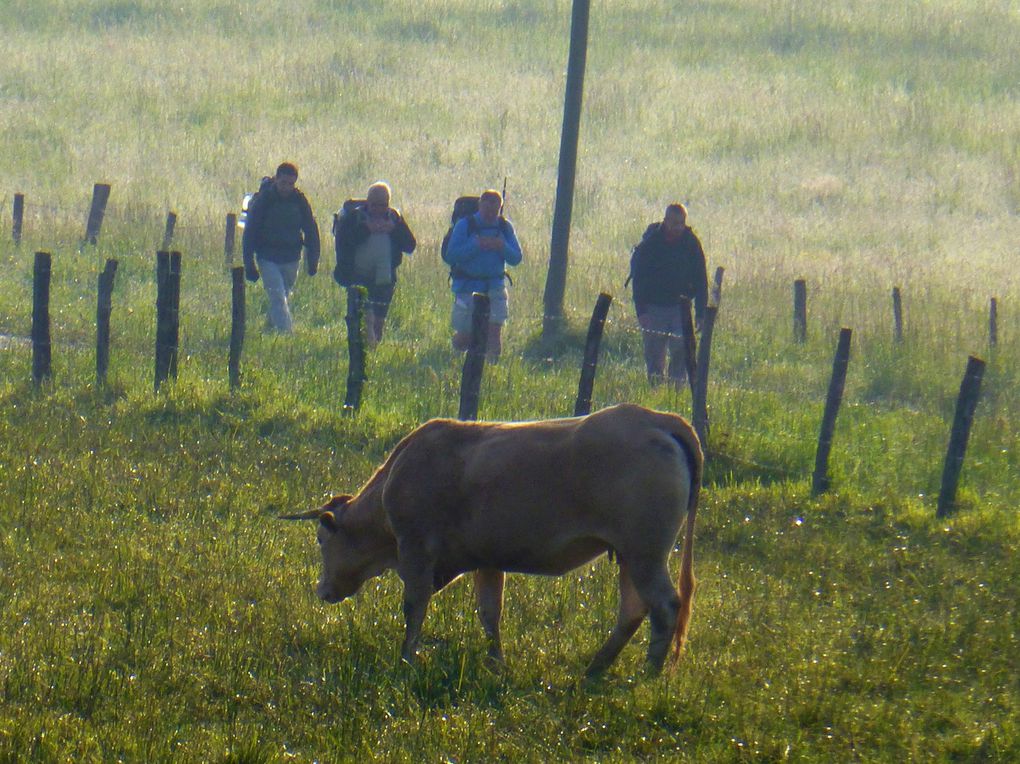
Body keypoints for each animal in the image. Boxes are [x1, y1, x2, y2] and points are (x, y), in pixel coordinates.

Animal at [283, 401, 705, 677]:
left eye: (321, 540)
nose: (322, 590)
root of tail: (657, 419)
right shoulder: (486, 561)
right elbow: (489, 612)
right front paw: (495, 662)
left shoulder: (416, 551)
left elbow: (414, 607)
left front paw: (406, 658)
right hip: (630, 556)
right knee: (633, 609)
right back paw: (595, 669)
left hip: (645, 553)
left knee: (664, 605)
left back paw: (648, 674)